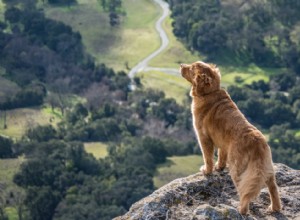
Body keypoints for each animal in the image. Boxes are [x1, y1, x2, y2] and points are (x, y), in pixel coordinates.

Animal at [180, 61, 282, 214]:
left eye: (191, 68)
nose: (181, 65)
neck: (210, 92)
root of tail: (257, 142)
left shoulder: (204, 137)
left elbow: (208, 157)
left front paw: (207, 171)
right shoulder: (223, 142)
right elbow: (221, 156)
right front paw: (219, 167)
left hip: (237, 169)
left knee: (245, 192)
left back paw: (242, 210)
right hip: (266, 169)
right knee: (273, 188)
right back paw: (274, 208)